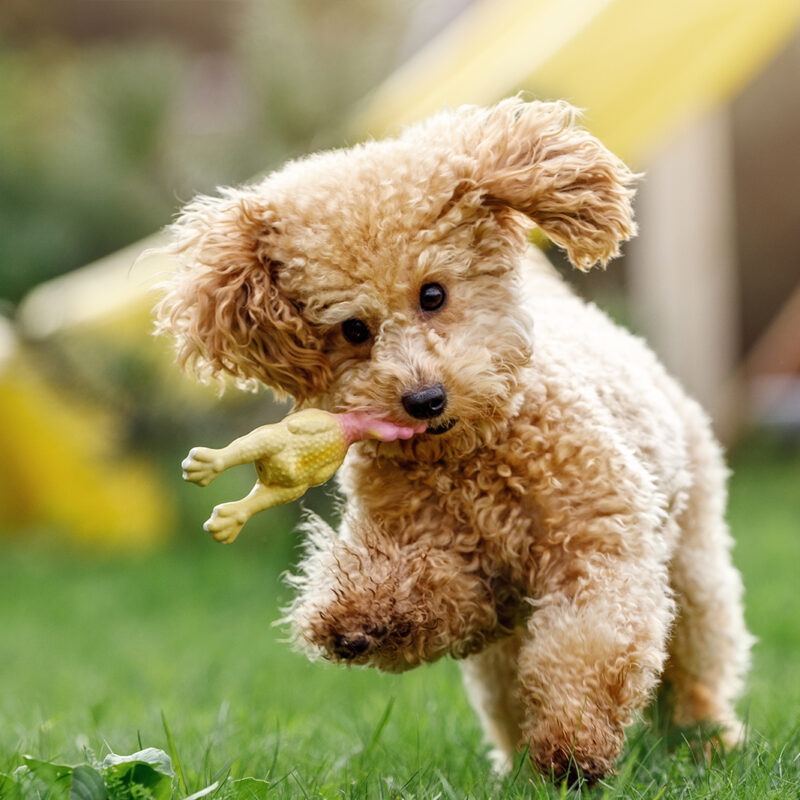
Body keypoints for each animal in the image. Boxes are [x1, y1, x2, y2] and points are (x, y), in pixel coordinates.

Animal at [155, 97, 752, 784]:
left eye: (433, 293)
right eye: (353, 329)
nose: (424, 400)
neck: (470, 459)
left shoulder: (598, 547)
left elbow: (589, 642)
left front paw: (573, 745)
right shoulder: (460, 575)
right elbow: (431, 593)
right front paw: (358, 618)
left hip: (693, 561)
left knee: (695, 658)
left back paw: (704, 739)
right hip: (506, 653)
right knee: (509, 689)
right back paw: (519, 765)